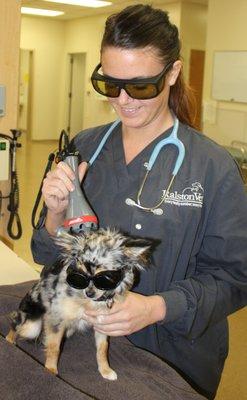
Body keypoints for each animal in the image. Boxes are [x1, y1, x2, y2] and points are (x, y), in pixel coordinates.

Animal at [6, 228, 152, 382]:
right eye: (78, 275)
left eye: (106, 278)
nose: (89, 293)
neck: (89, 302)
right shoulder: (56, 320)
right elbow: (54, 348)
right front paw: (50, 370)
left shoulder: (103, 324)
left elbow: (103, 348)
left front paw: (105, 370)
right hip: (31, 326)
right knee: (16, 326)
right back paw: (9, 340)